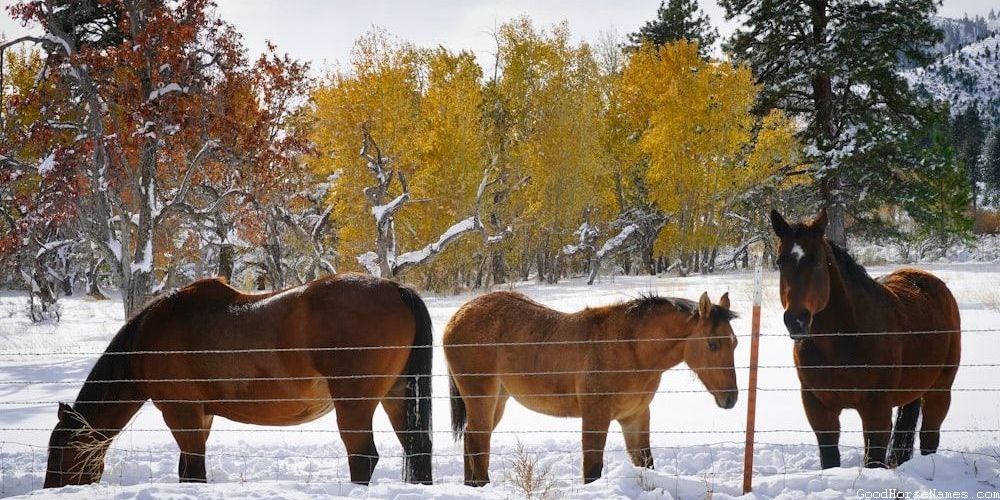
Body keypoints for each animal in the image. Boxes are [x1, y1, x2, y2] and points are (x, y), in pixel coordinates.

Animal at [44, 273, 434, 488]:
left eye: (59, 451)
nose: (51, 489)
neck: (147, 341)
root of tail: (396, 288)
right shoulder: (202, 416)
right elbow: (188, 471)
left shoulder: (180, 412)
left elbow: (193, 472)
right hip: (397, 397)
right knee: (417, 448)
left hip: (355, 404)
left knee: (363, 457)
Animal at [444, 290, 739, 485]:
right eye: (713, 344)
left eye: (734, 342)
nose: (731, 399)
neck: (630, 347)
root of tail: (456, 317)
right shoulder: (595, 416)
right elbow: (593, 470)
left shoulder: (635, 417)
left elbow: (646, 463)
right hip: (483, 398)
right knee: (478, 442)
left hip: (498, 400)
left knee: (471, 438)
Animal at [769, 209, 961, 469]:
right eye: (780, 263)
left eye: (817, 261)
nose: (796, 320)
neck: (842, 342)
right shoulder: (819, 410)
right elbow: (830, 458)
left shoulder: (875, 411)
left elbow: (874, 458)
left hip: (940, 390)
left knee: (929, 437)